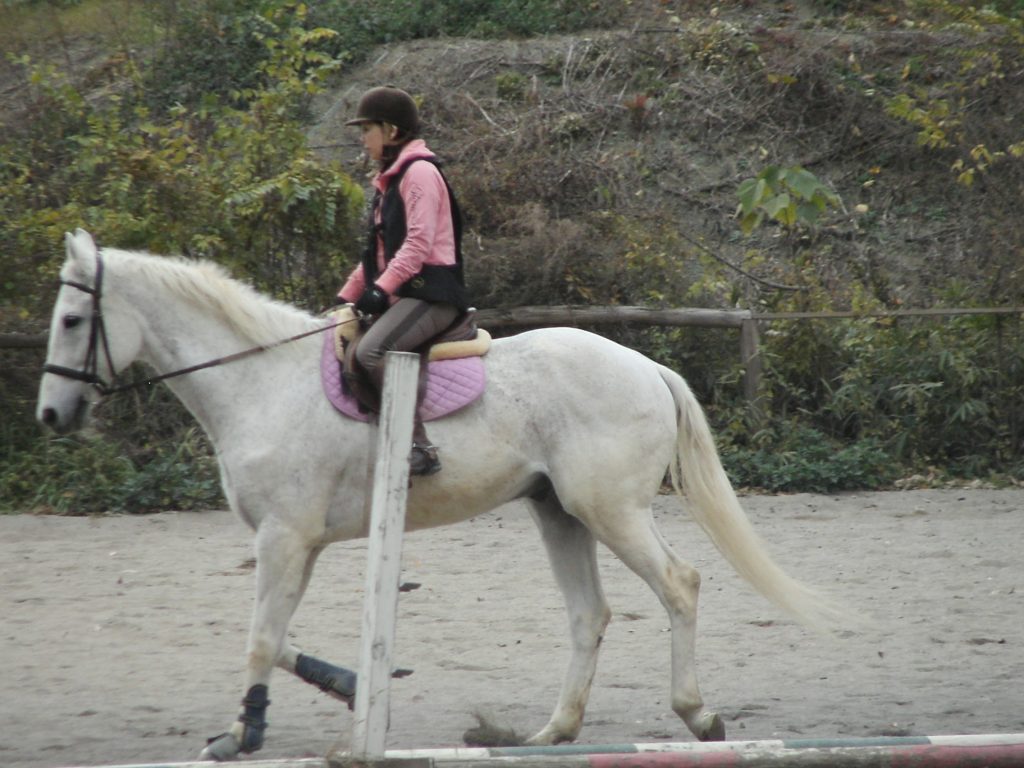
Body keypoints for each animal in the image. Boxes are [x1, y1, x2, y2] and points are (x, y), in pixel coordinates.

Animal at [37, 229, 844, 761]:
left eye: (73, 320)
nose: (51, 416)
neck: (259, 383)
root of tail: (646, 366)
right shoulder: (290, 542)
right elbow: (275, 635)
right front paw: (353, 685)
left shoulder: (284, 537)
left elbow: (262, 638)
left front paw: (244, 733)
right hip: (560, 513)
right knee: (590, 614)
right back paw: (553, 731)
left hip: (609, 511)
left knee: (679, 584)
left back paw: (698, 717)